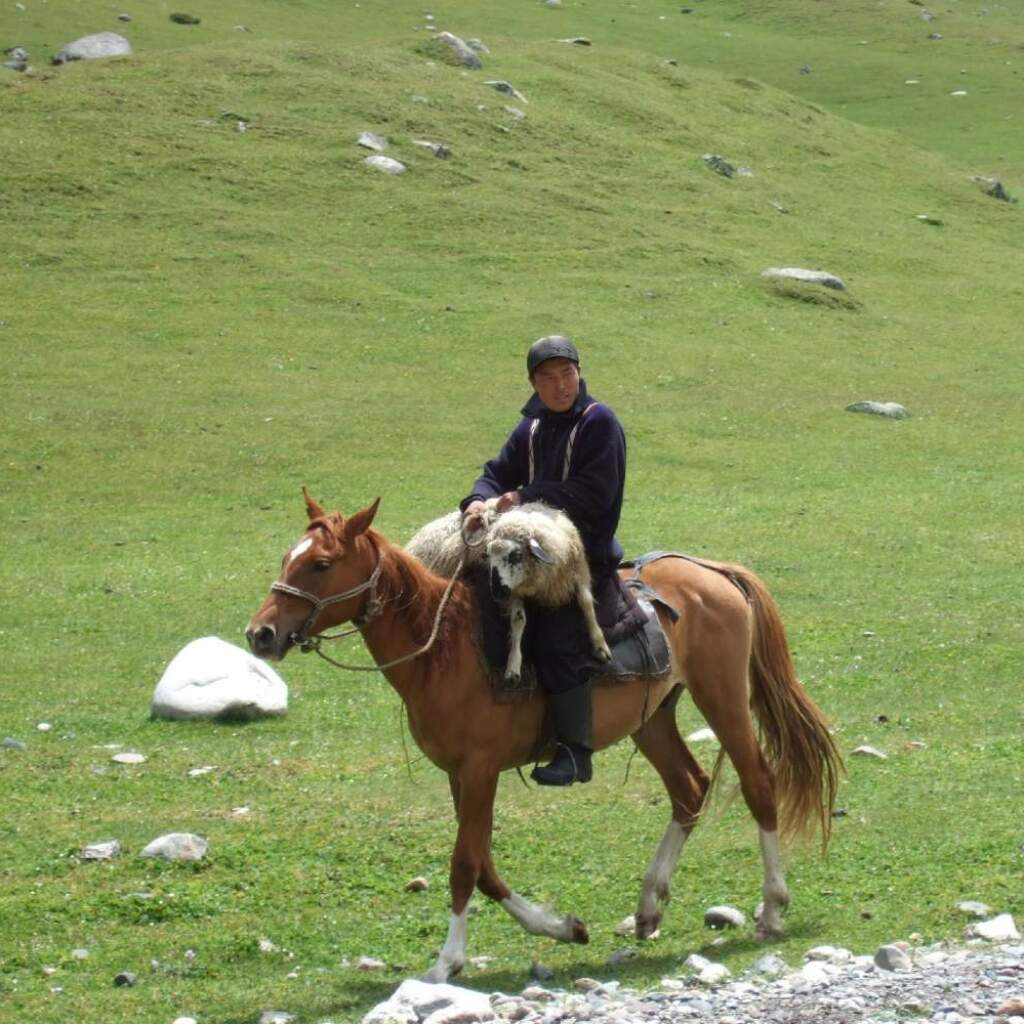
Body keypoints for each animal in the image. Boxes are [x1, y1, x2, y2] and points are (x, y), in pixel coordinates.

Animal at [246, 491, 842, 983]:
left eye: (321, 564)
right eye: (288, 557)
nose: (261, 634)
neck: (445, 648)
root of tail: (711, 570)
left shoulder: (479, 770)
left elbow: (464, 865)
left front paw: (446, 962)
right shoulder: (460, 775)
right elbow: (484, 866)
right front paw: (562, 927)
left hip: (724, 701)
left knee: (758, 784)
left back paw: (772, 910)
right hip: (652, 720)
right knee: (689, 788)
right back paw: (649, 908)